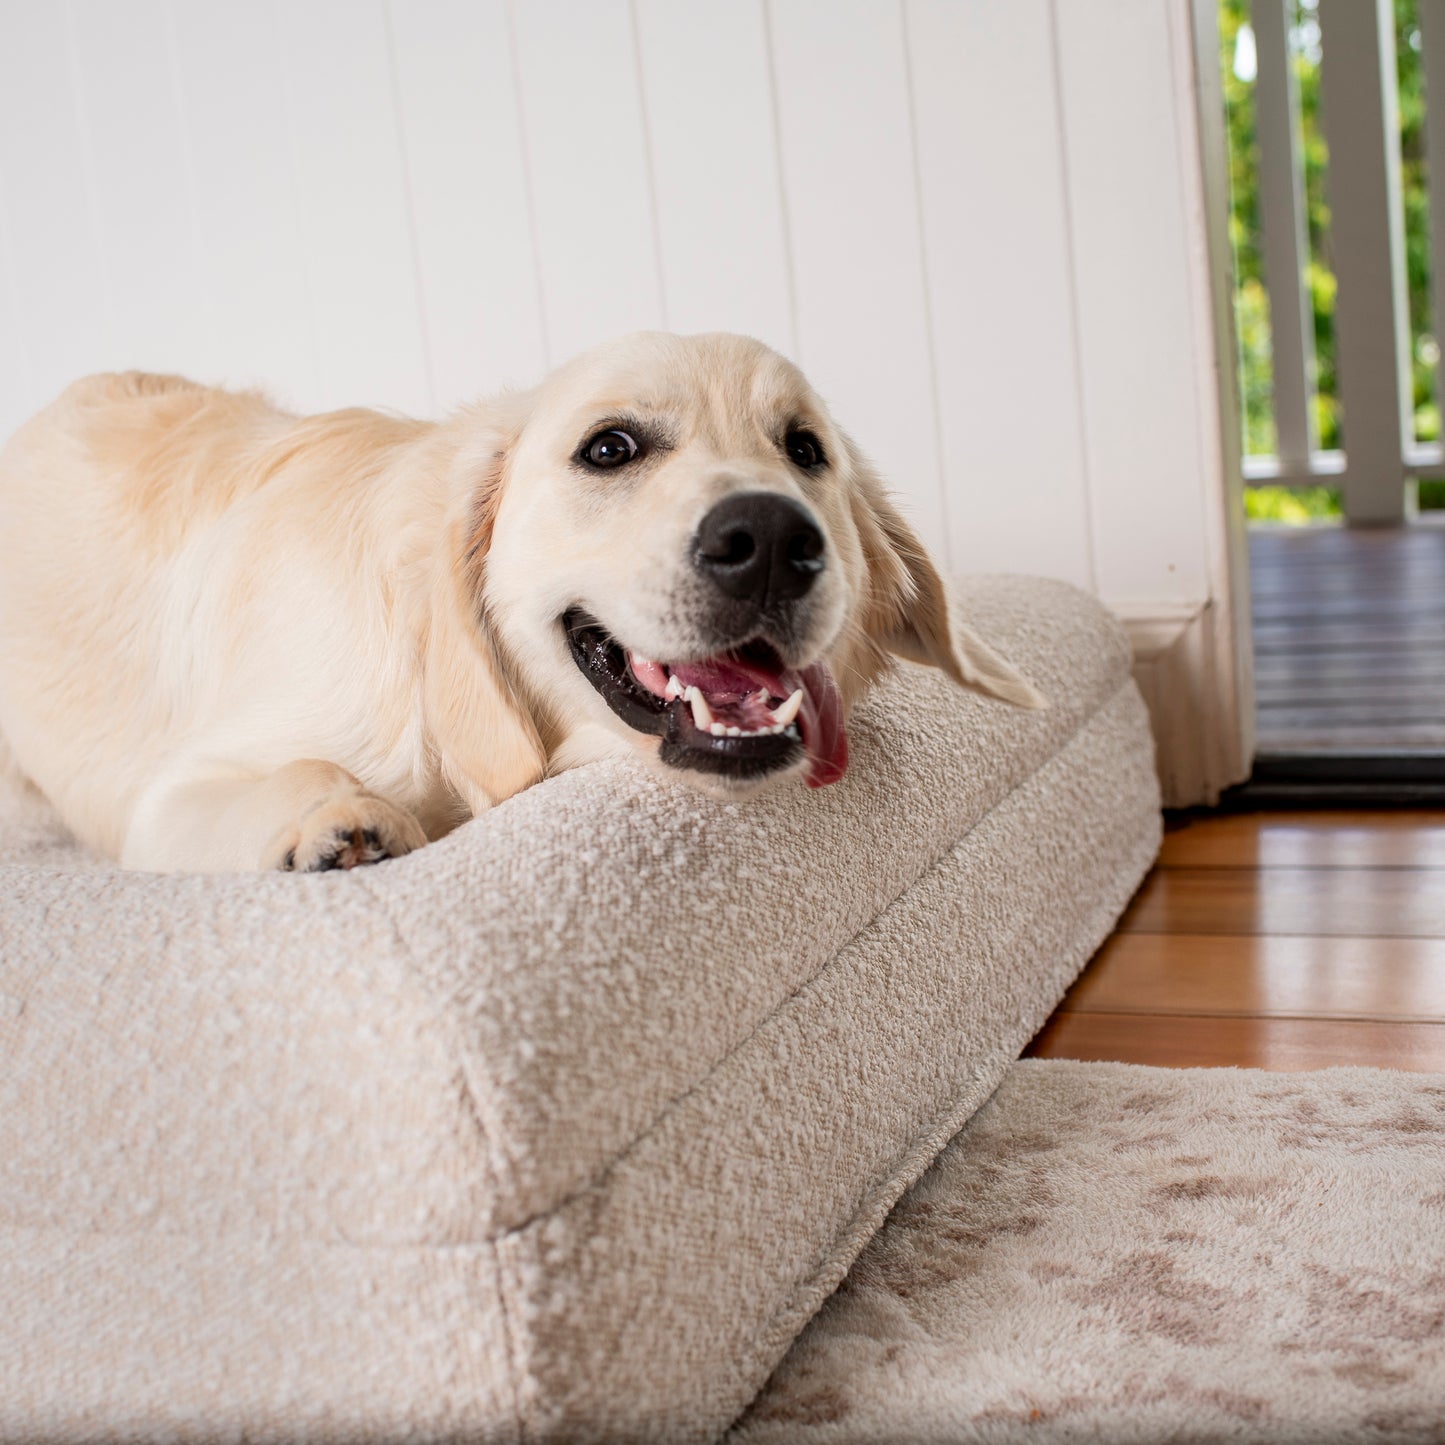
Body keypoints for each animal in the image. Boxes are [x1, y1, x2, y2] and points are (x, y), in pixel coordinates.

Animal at [0, 330, 1046, 867]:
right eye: (609, 447)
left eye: (804, 449)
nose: (771, 542)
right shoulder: (169, 803)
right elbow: (298, 771)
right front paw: (341, 822)